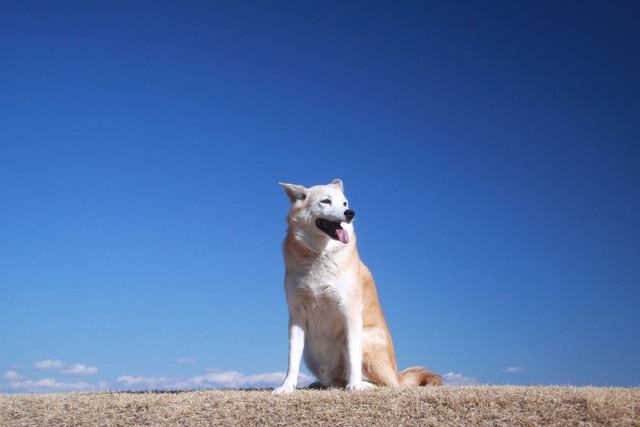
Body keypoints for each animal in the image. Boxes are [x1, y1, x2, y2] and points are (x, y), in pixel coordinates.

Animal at [270, 178, 440, 394]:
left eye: (345, 203)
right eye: (326, 201)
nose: (350, 213)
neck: (319, 255)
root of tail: (398, 375)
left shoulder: (349, 311)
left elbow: (352, 356)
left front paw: (355, 386)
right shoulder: (297, 314)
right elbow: (292, 358)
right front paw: (287, 386)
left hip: (364, 337)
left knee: (386, 383)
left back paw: (363, 384)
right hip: (311, 350)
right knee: (333, 379)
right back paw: (322, 383)